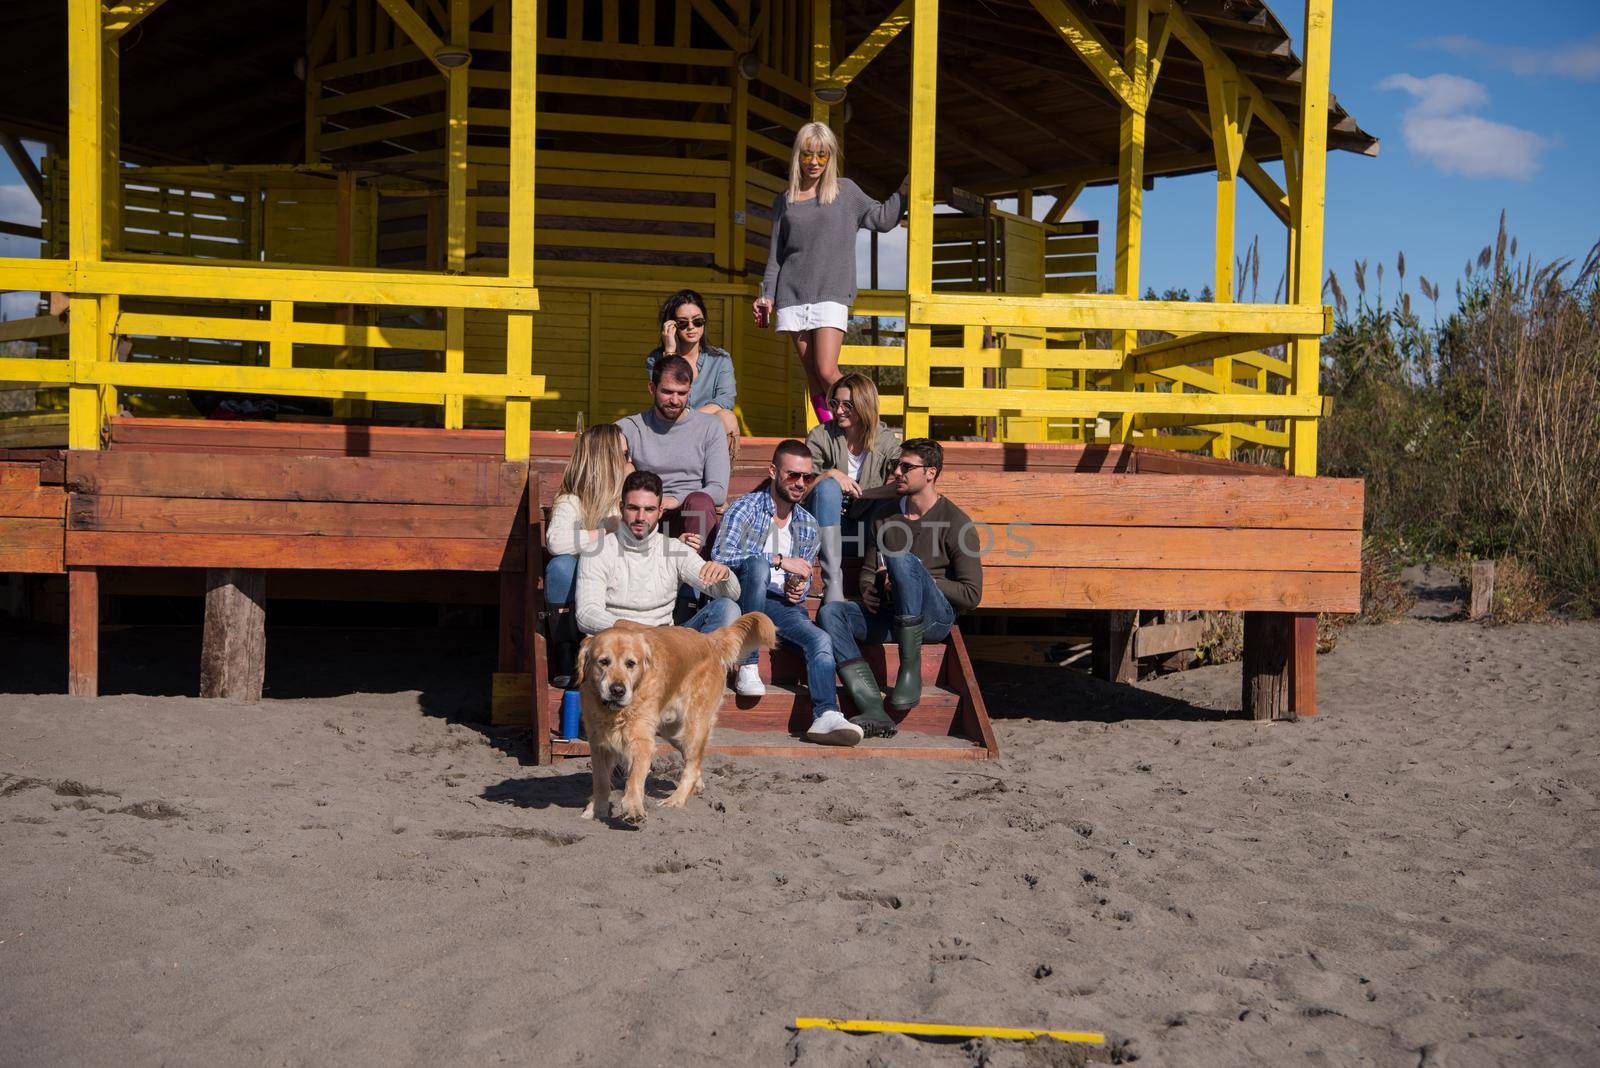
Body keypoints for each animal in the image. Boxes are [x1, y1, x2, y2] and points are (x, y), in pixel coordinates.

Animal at [579, 607, 777, 824]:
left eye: (631, 663)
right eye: (603, 662)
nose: (617, 690)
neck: (614, 712)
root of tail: (709, 640)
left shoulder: (642, 740)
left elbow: (634, 777)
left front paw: (633, 807)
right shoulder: (599, 743)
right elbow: (600, 780)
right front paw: (596, 809)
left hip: (693, 727)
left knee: (691, 766)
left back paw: (676, 800)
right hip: (674, 732)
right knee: (695, 763)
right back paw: (696, 786)